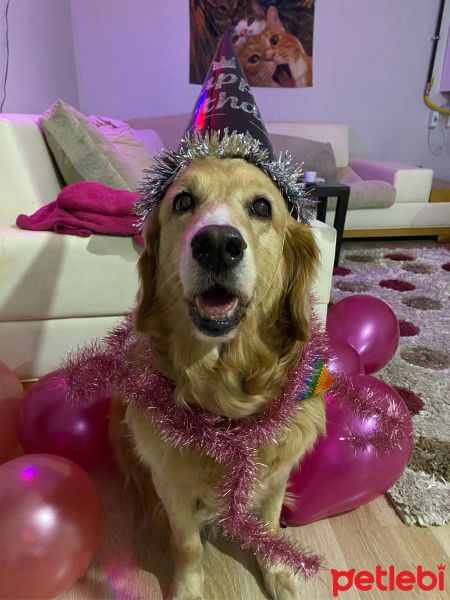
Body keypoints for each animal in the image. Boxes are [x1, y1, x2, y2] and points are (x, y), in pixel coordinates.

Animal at [110, 156, 326, 600]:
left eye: (261, 207)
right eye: (183, 201)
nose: (217, 245)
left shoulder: (276, 475)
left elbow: (268, 526)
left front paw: (278, 574)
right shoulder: (170, 483)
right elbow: (188, 545)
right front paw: (188, 589)